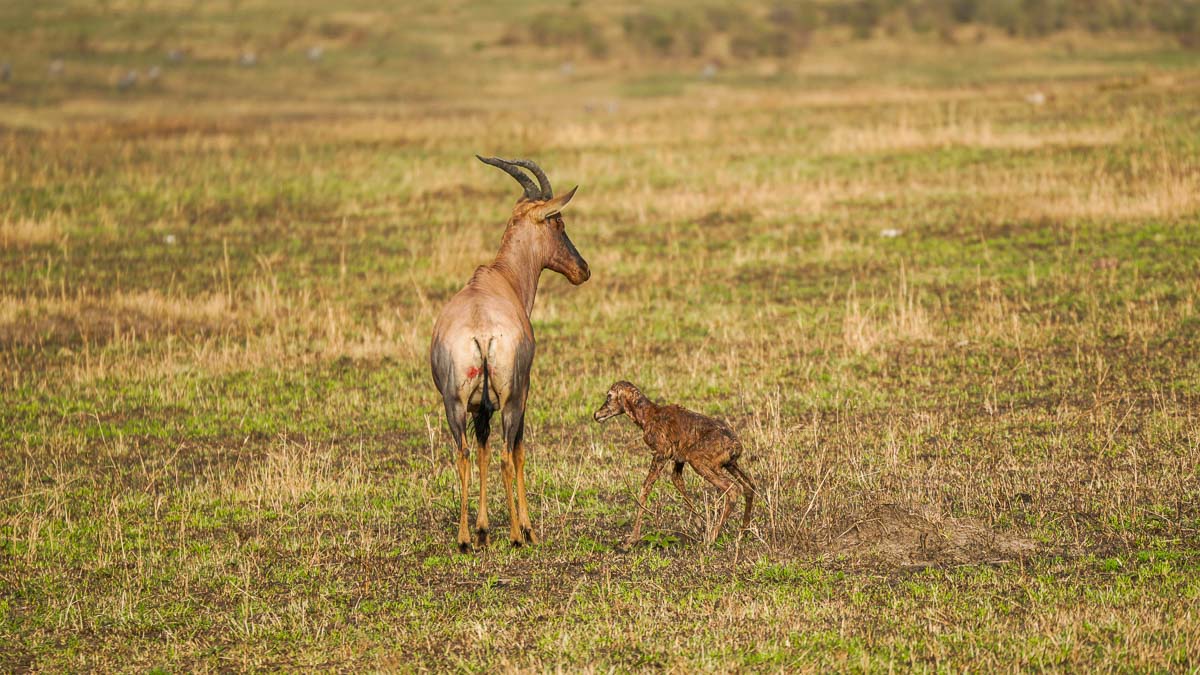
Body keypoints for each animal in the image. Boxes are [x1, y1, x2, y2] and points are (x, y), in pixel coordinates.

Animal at [429, 154, 588, 550]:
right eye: (558, 221)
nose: (583, 270)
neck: (500, 278)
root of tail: (482, 333)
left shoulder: (479, 406)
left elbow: (482, 451)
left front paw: (484, 530)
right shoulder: (523, 393)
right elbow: (518, 452)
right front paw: (527, 528)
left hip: (454, 404)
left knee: (464, 454)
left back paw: (465, 539)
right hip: (512, 399)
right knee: (506, 454)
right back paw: (517, 535)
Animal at [595, 381, 753, 542]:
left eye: (609, 396)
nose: (596, 415)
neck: (648, 415)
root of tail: (736, 446)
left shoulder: (661, 454)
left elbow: (646, 487)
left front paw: (632, 539)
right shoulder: (679, 459)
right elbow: (677, 481)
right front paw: (699, 524)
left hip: (700, 462)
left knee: (733, 489)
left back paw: (711, 538)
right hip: (730, 465)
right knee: (749, 486)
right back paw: (743, 532)